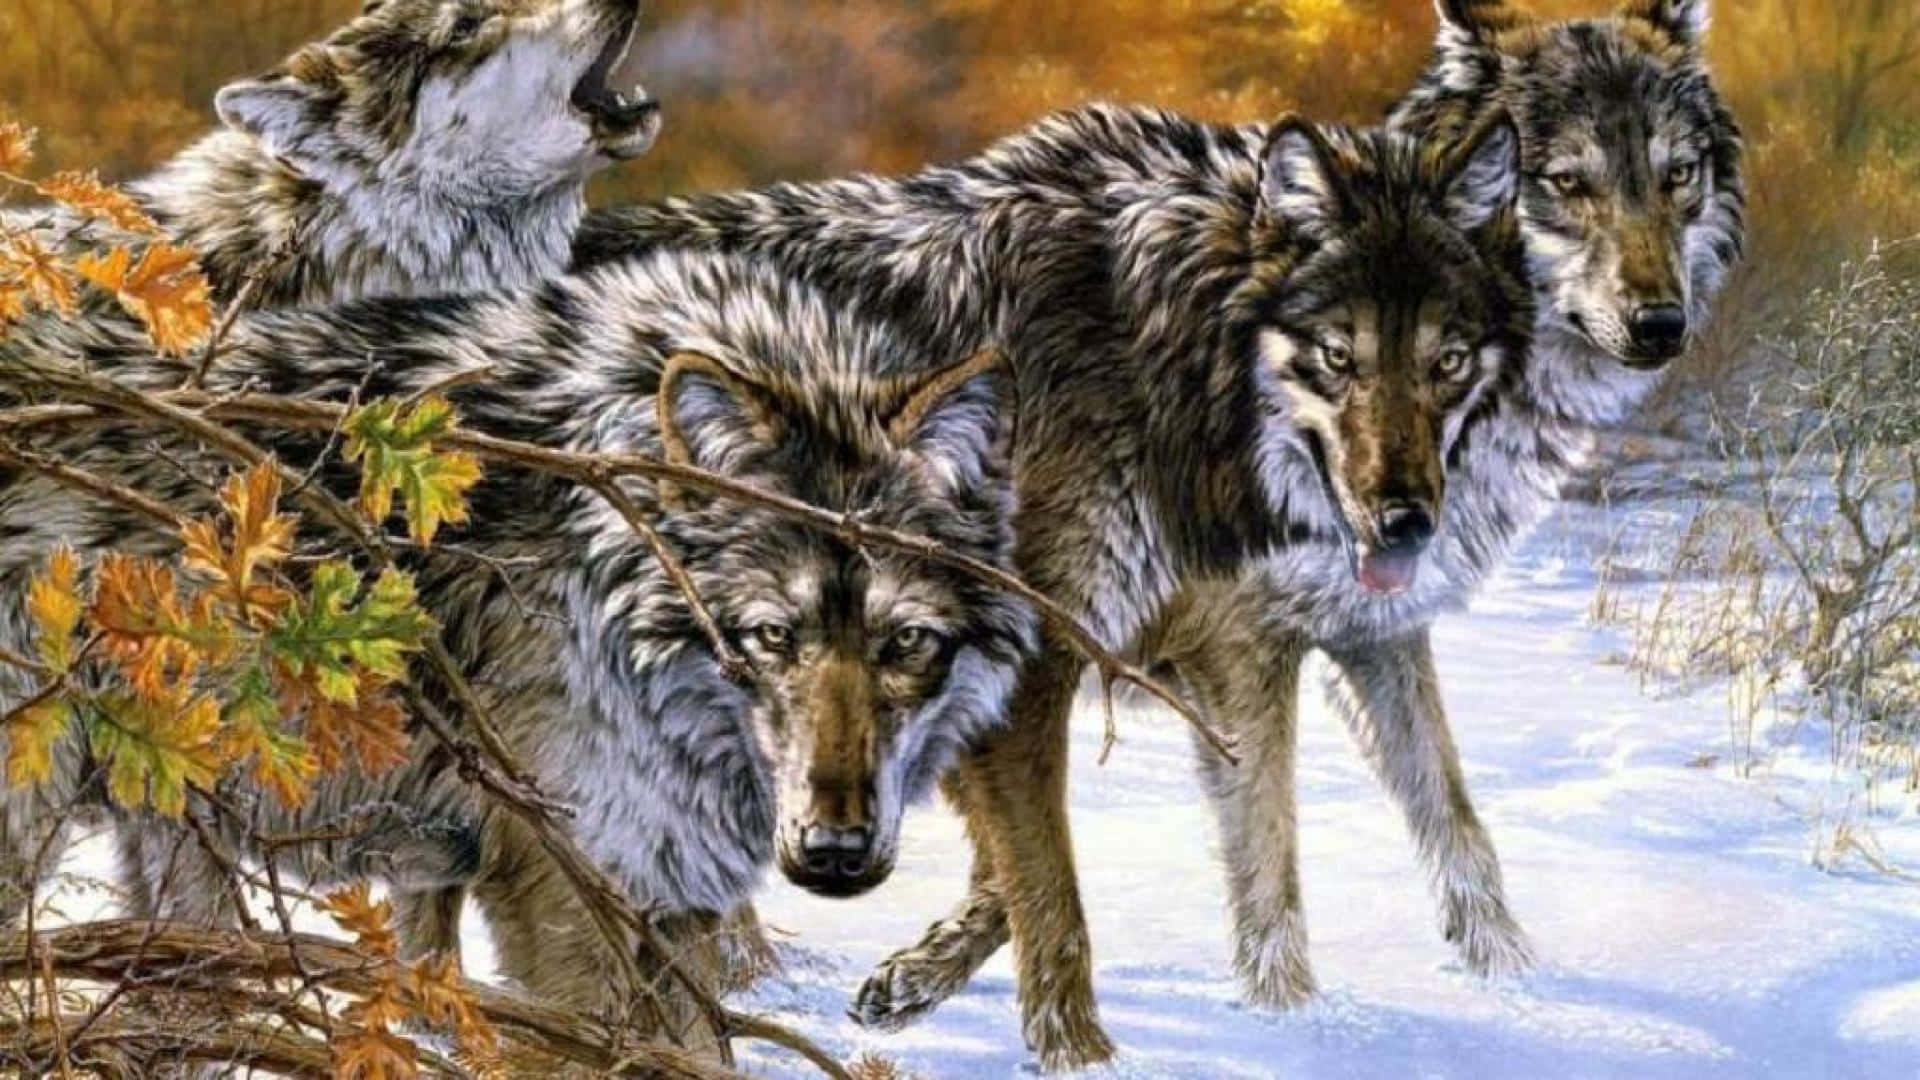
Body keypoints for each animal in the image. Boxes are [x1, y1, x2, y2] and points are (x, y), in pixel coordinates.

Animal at [572, 107, 1529, 1066]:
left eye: (1448, 362)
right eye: (1337, 356)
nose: (1407, 522)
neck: (1158, 356)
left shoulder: (1318, 641)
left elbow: (1446, 817)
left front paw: (1510, 981)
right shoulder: (1047, 662)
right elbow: (1059, 887)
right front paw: (1083, 1057)